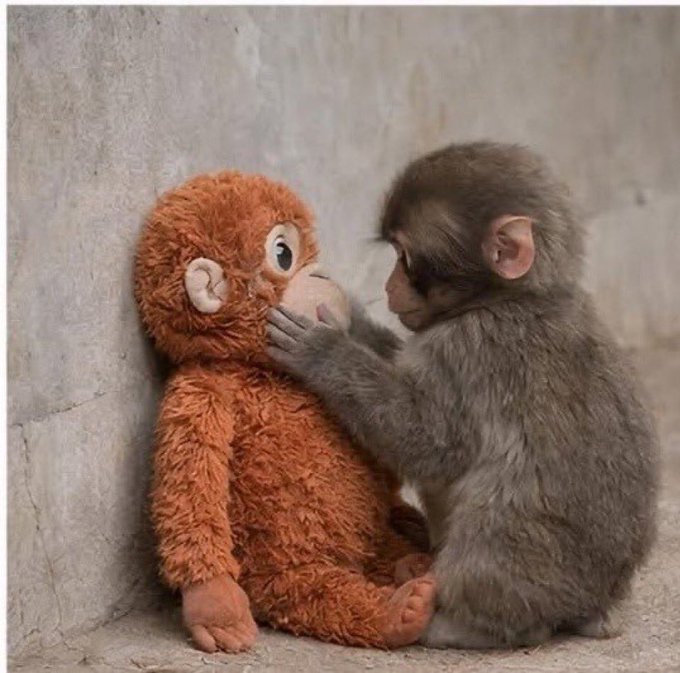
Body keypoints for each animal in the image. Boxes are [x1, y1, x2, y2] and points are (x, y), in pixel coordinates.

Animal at [266, 141, 659, 649]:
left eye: (405, 258)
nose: (388, 285)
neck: (511, 298)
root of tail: (600, 600)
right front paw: (348, 319)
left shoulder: (468, 348)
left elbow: (431, 442)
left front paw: (323, 350)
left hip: (536, 568)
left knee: (496, 516)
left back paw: (461, 623)